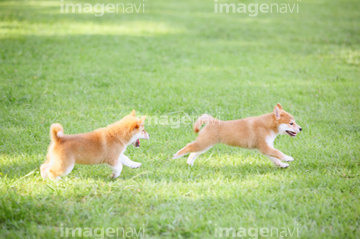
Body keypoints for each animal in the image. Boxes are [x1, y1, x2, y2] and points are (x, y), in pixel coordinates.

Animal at [173, 103, 302, 168]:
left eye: (294, 122)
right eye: (291, 123)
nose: (301, 128)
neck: (267, 126)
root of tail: (212, 120)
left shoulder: (265, 148)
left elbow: (274, 158)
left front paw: (282, 164)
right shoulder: (264, 147)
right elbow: (278, 153)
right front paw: (287, 158)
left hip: (205, 145)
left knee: (193, 152)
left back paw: (189, 163)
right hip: (204, 144)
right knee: (189, 146)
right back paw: (176, 156)